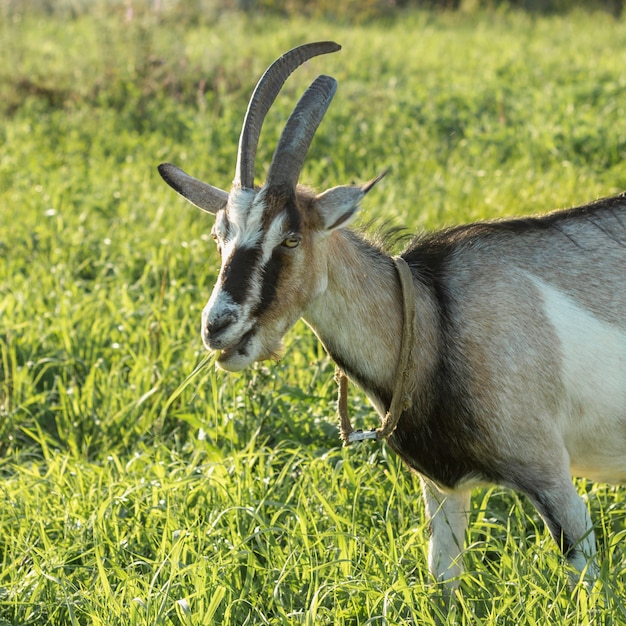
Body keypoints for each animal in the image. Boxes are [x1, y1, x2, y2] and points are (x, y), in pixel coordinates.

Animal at [157, 42, 624, 588]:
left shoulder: (551, 477)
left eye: (291, 238)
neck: (431, 316)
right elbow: (442, 585)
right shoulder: (443, 487)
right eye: (219, 236)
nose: (217, 326)